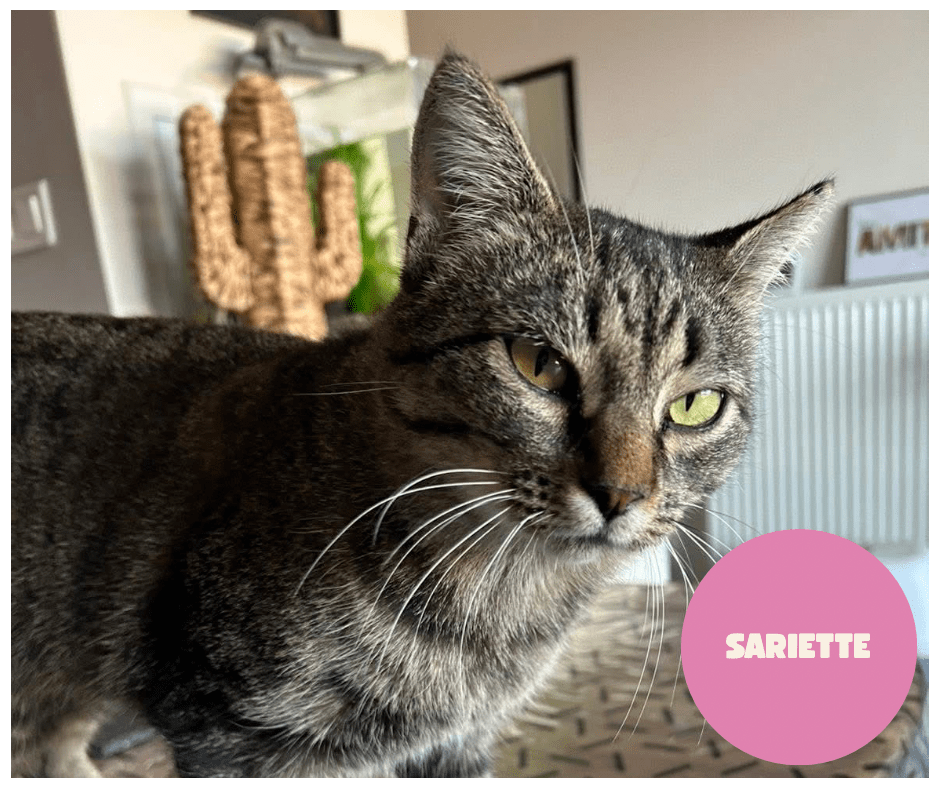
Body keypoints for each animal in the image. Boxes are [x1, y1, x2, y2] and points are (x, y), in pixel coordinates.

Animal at [11, 51, 832, 777]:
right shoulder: (229, 736)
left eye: (695, 405)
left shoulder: (457, 746)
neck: (494, 607)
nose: (622, 495)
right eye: (538, 364)